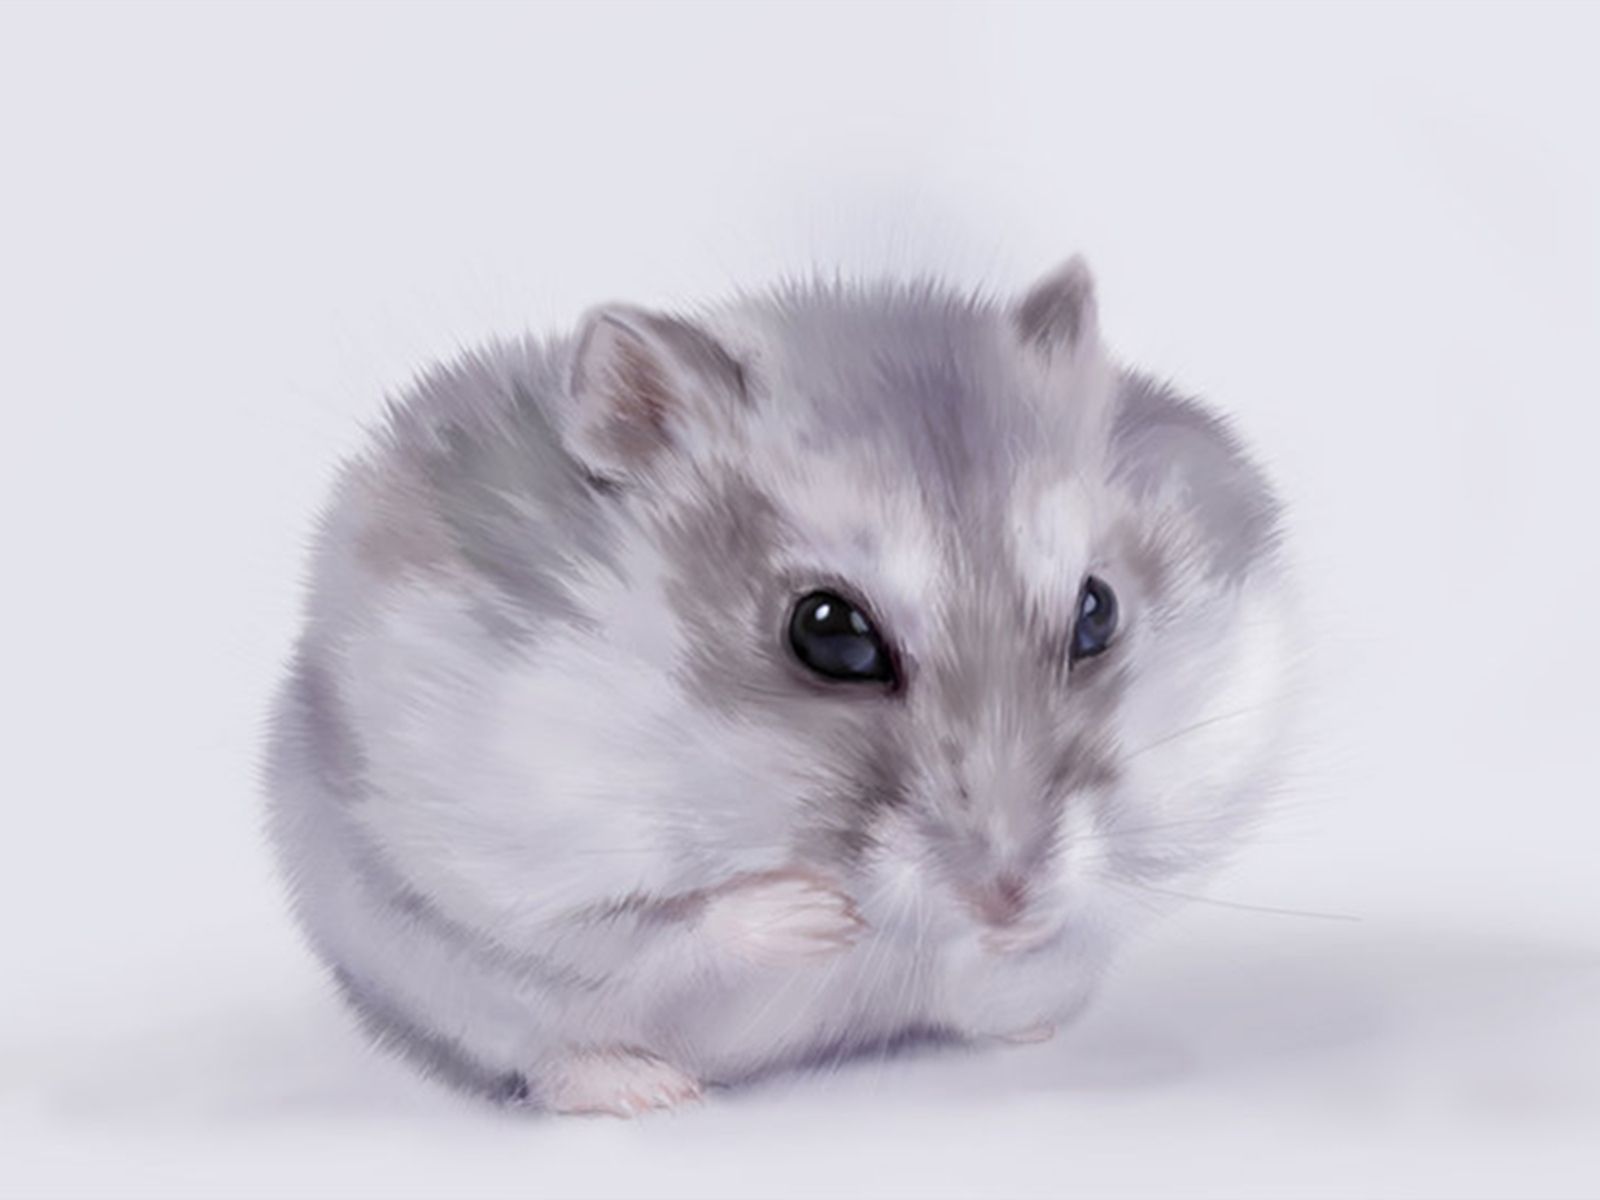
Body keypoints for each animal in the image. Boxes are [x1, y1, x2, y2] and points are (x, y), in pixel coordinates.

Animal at [264, 257, 1296, 1116]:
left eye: (1097, 613)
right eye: (828, 633)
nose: (1009, 899)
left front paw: (1012, 941)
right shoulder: (503, 861)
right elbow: (653, 927)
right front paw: (816, 914)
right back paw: (643, 1090)